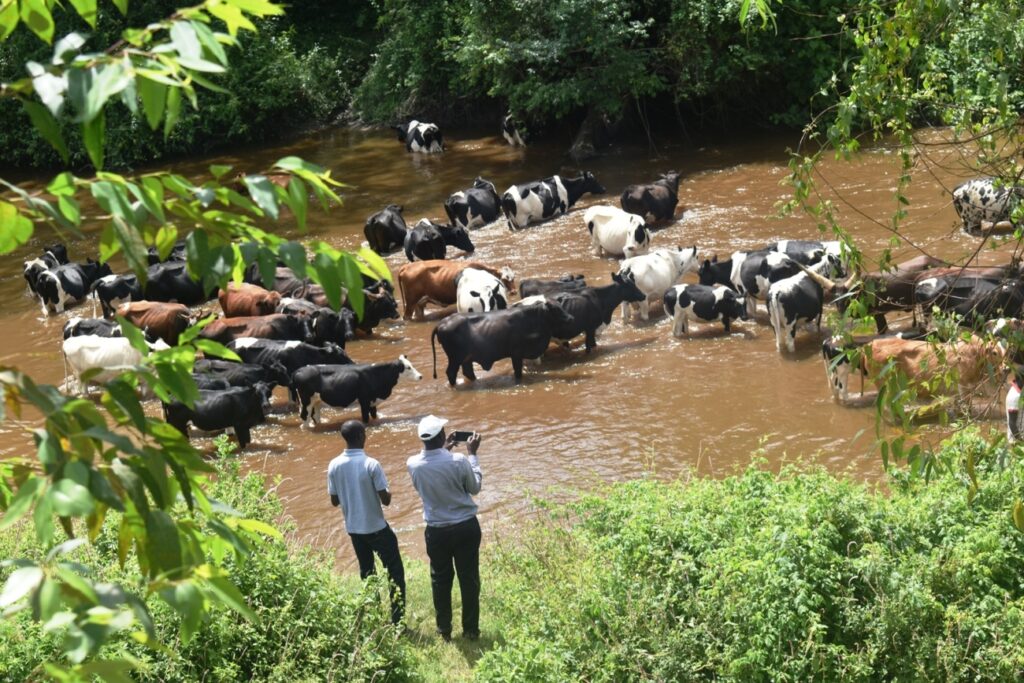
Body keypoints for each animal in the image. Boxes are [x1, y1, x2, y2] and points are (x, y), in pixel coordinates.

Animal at [292, 358, 423, 428]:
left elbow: (374, 416)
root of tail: (299, 370)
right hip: (306, 401)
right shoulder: (364, 400)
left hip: (317, 401)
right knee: (304, 418)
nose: (420, 376)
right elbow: (365, 418)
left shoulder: (372, 401)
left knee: (315, 417)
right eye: (408, 367)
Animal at [430, 299, 577, 385]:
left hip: (466, 358)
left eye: (561, 307)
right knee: (451, 373)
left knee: (468, 372)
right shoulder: (516, 354)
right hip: (455, 358)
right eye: (555, 309)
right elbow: (518, 372)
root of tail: (443, 322)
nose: (571, 318)